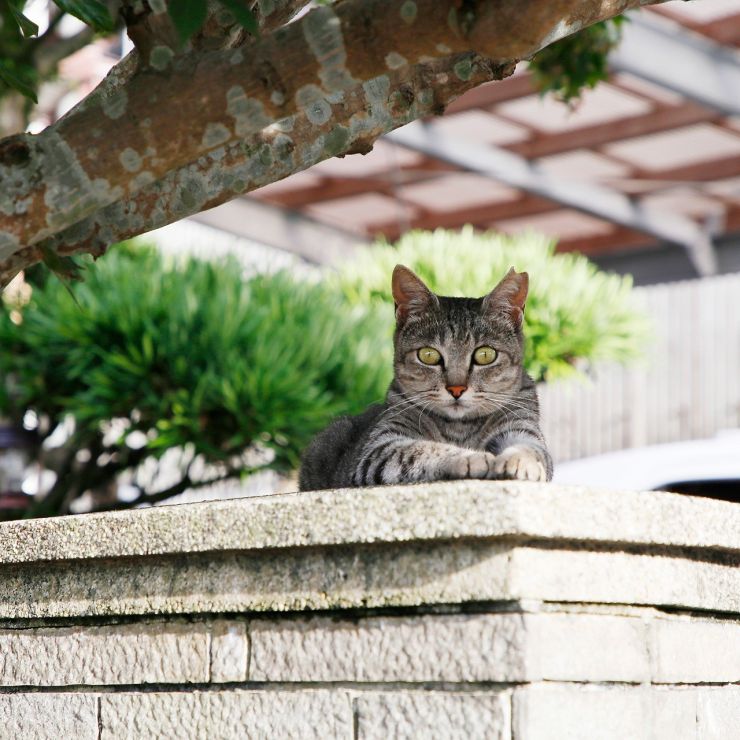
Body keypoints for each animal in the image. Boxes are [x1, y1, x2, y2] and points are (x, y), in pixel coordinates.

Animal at [298, 266, 552, 492]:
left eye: (485, 355)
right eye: (428, 355)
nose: (457, 389)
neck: (460, 428)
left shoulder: (522, 428)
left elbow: (530, 449)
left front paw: (520, 461)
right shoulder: (380, 447)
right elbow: (424, 449)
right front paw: (475, 458)